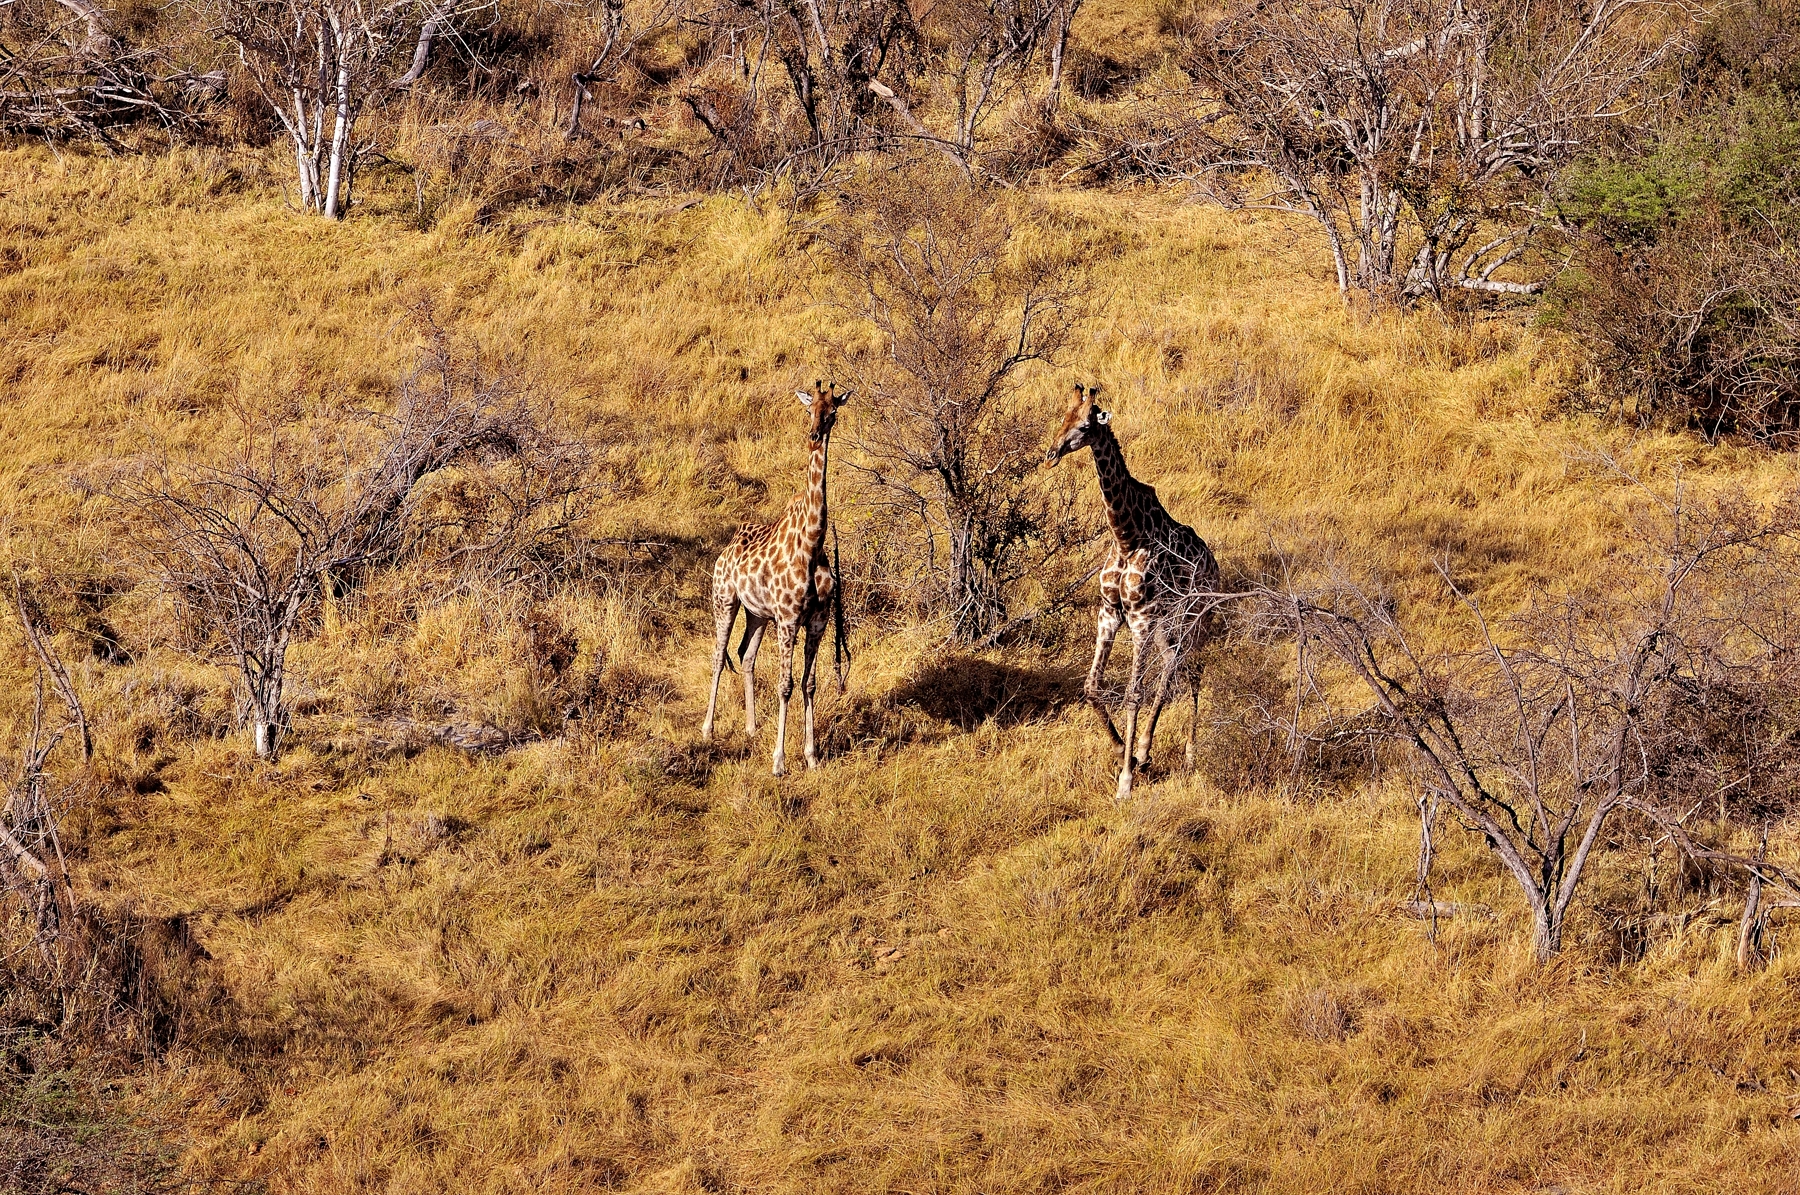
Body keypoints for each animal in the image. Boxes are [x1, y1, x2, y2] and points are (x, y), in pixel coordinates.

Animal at [701, 380, 850, 776]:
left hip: (757, 614)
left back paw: (752, 728)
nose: (814, 434)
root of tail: (725, 550)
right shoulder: (788, 619)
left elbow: (810, 684)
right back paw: (707, 729)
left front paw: (812, 756)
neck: (812, 543)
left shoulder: (818, 621)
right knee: (719, 655)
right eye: (809, 409)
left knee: (745, 655)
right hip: (725, 601)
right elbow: (785, 685)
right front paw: (780, 761)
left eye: (833, 413)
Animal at [1046, 384, 1221, 800]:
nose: (1050, 454)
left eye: (1084, 425)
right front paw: (1120, 749)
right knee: (1174, 669)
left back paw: (1186, 755)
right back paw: (1143, 751)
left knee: (1190, 672)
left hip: (1194, 617)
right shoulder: (1110, 613)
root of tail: (1215, 567)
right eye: (1062, 417)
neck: (1126, 537)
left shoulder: (1140, 618)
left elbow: (1132, 694)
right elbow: (1092, 686)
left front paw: (1125, 780)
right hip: (1167, 626)